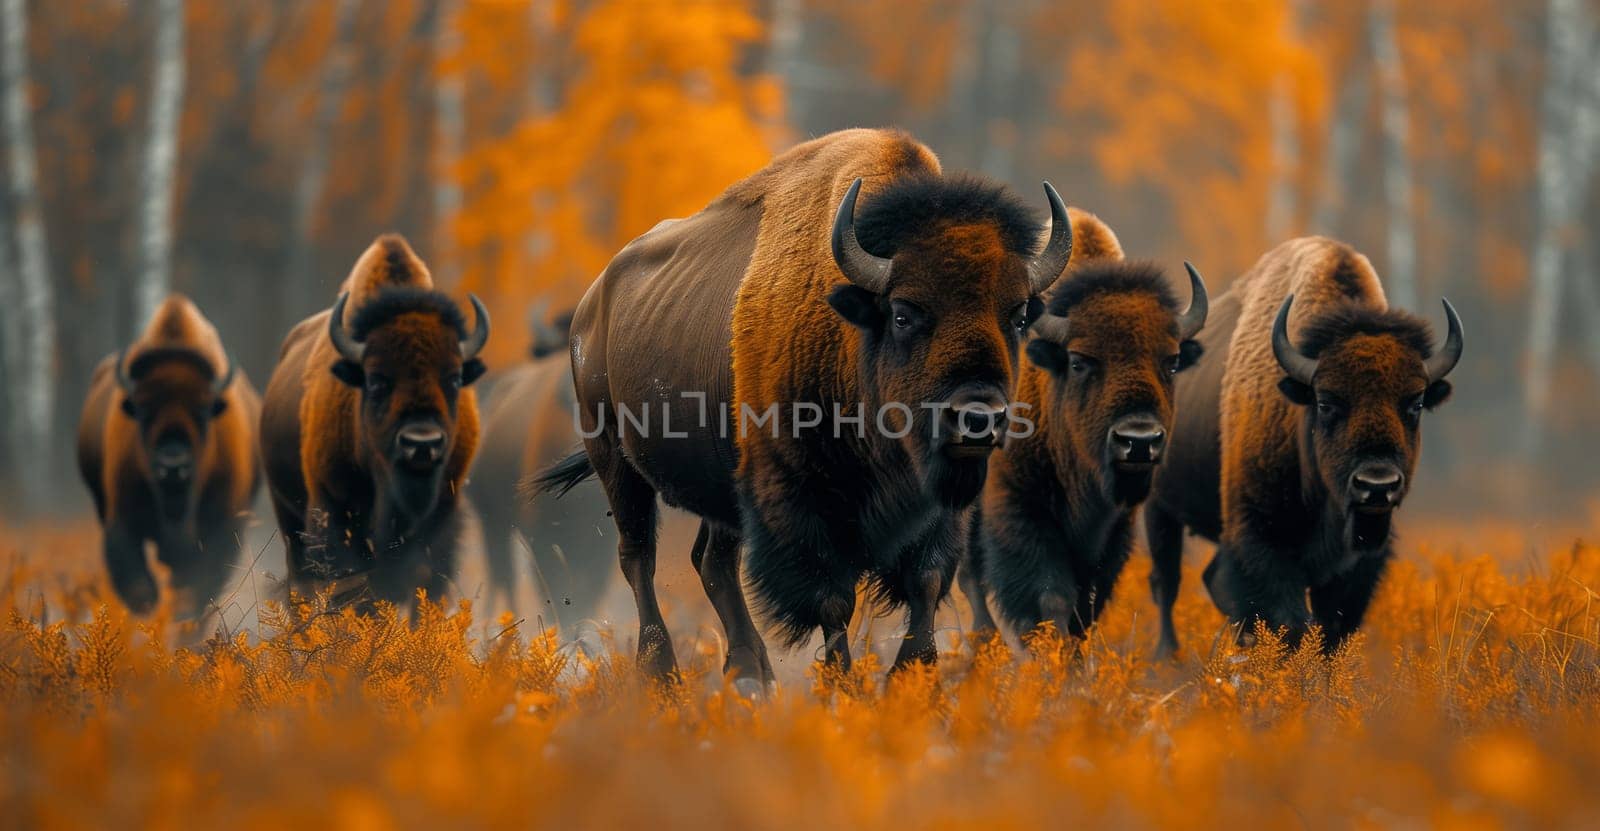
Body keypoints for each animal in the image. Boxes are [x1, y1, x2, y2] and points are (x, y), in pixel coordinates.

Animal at [76, 296, 259, 614]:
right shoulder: (121, 524)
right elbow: (141, 590)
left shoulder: (222, 530)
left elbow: (198, 589)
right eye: (143, 410)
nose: (173, 464)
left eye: (203, 411)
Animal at [259, 233, 486, 605]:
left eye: (454, 379)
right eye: (376, 380)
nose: (422, 444)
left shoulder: (442, 520)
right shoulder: (335, 512)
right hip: (289, 521)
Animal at [537, 129, 1075, 688]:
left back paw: (751, 673)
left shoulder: (937, 508)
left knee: (712, 562)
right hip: (614, 459)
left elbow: (925, 580)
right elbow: (832, 599)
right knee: (639, 556)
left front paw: (911, 675)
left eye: (1016, 316)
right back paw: (663, 674)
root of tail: (589, 309)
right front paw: (844, 682)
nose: (978, 417)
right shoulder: (802, 505)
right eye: (903, 313)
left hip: (720, 483)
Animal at [953, 211, 1203, 640]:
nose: (1139, 441)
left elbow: (1086, 606)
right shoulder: (1019, 508)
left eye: (1171, 362)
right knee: (971, 580)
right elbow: (1050, 596)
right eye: (1079, 361)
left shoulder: (1112, 530)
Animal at [1145, 235, 1459, 656]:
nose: (1376, 485)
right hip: (1158, 506)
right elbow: (1287, 620)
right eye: (1325, 403)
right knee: (1167, 581)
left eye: (1415, 403)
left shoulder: (1360, 564)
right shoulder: (1260, 538)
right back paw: (1168, 656)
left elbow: (1333, 626)